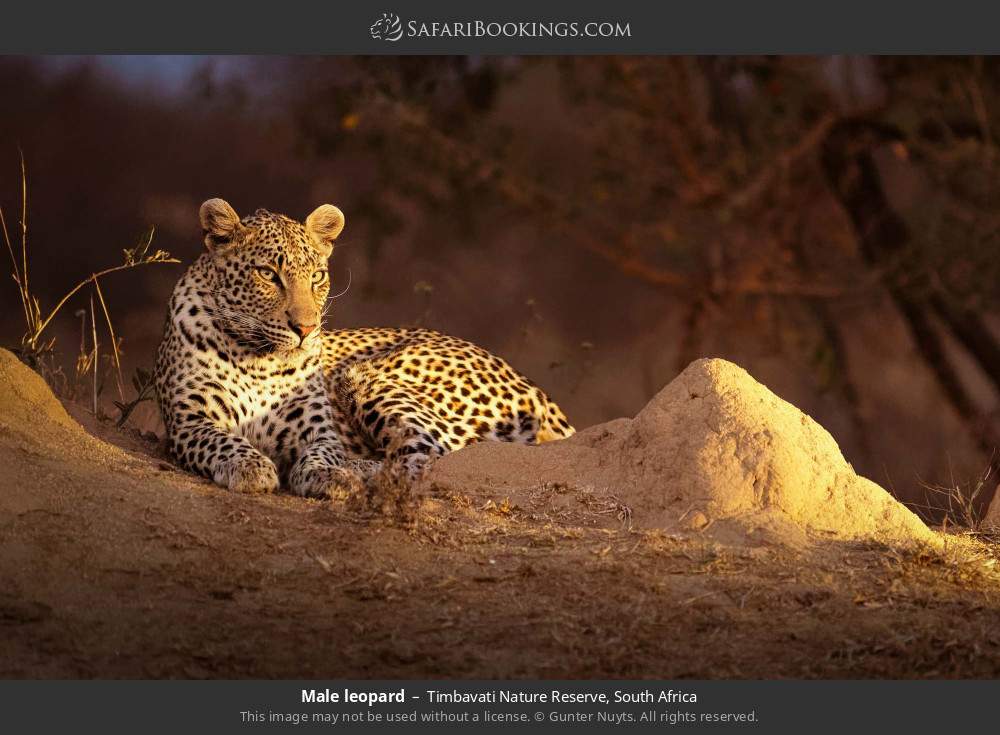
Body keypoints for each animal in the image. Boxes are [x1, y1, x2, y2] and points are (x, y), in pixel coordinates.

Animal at [154, 198, 574, 498]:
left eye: (317, 276)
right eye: (268, 275)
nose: (306, 328)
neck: (258, 358)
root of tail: (535, 388)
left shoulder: (319, 432)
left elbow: (326, 451)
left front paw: (331, 473)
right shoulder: (189, 422)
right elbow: (221, 440)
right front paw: (249, 466)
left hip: (370, 378)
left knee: (433, 457)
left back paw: (361, 469)